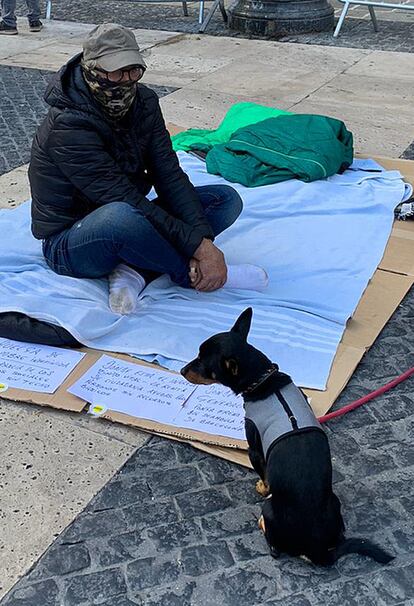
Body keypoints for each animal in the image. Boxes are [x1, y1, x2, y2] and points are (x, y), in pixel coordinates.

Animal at [182, 308, 394, 568]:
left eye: (203, 362)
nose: (181, 371)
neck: (264, 381)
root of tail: (316, 550)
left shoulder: (254, 449)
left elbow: (263, 474)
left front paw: (263, 486)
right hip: (335, 504)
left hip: (270, 509)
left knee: (274, 547)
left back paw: (263, 525)